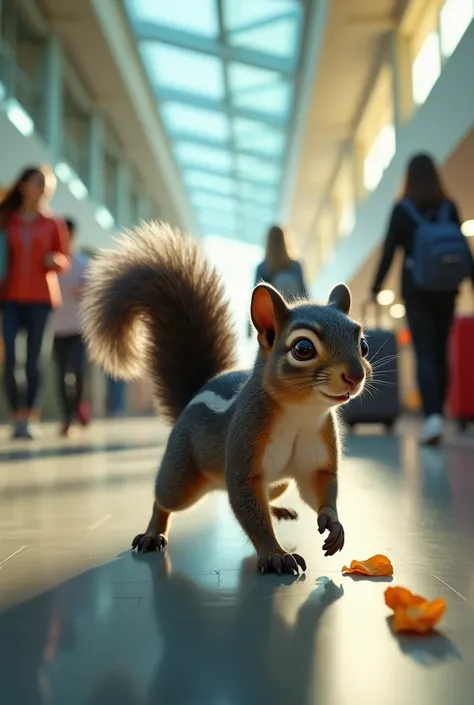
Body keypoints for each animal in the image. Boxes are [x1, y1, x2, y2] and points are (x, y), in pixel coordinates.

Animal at [80, 223, 370, 576]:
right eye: (303, 348)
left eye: (363, 345)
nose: (355, 376)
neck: (301, 413)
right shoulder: (245, 446)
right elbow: (250, 509)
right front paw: (276, 555)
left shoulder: (317, 454)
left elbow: (320, 485)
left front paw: (334, 524)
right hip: (182, 475)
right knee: (164, 498)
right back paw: (152, 533)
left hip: (277, 482)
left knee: (270, 493)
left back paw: (279, 510)